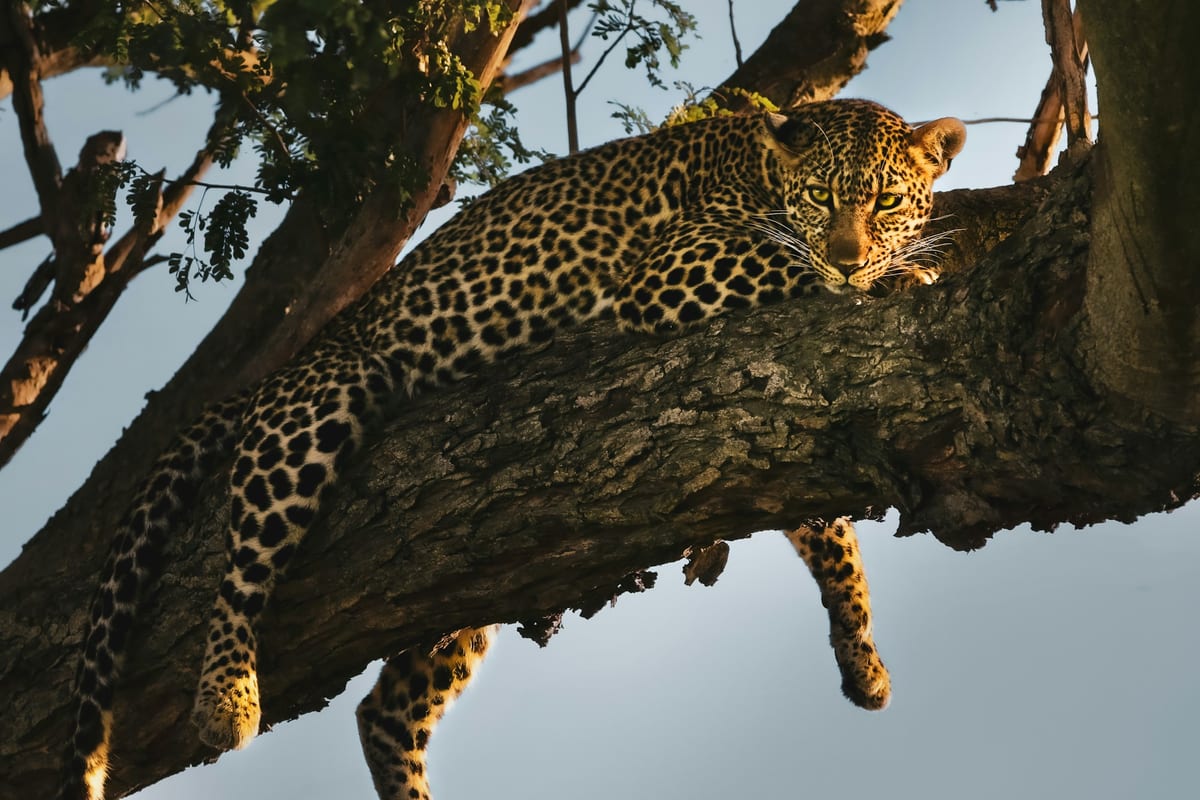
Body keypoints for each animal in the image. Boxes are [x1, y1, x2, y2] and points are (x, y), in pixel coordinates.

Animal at [60, 98, 965, 800]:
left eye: (886, 200)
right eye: (820, 196)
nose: (851, 256)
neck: (770, 171)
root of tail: (293, 359)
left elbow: (825, 528)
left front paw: (861, 656)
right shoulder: (673, 271)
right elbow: (786, 261)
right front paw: (893, 277)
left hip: (473, 580)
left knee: (384, 712)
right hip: (317, 407)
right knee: (242, 564)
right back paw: (226, 697)